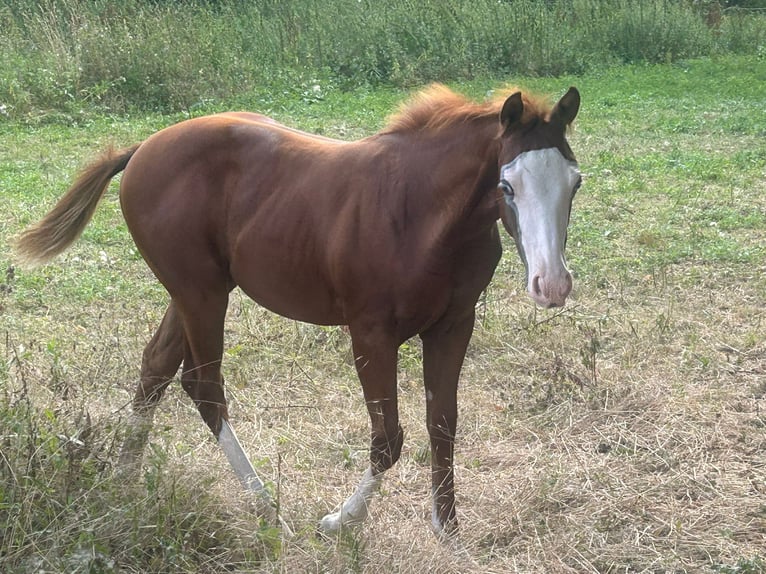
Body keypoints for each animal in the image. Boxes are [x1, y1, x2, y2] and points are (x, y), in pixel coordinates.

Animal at [16, 84, 584, 540]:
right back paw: (270, 512)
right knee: (205, 388)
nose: (552, 285)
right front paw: (339, 522)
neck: (420, 214)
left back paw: (126, 478)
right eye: (506, 185)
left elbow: (442, 423)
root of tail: (142, 149)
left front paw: (447, 528)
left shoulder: (453, 326)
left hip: (192, 290)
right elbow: (388, 439)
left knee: (155, 366)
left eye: (575, 182)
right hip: (201, 293)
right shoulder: (370, 333)